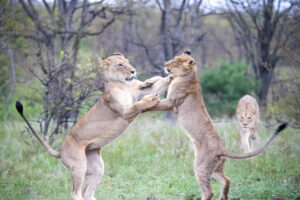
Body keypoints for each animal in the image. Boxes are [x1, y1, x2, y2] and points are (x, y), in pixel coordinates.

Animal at [15, 52, 171, 200]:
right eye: (120, 65)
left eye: (128, 62)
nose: (133, 71)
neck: (122, 83)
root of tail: (61, 150)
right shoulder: (124, 111)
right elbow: (139, 104)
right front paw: (151, 98)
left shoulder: (137, 94)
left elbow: (160, 82)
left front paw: (162, 78)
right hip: (79, 165)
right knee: (75, 193)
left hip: (97, 168)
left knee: (87, 193)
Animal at [146, 50, 288, 200]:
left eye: (174, 62)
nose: (165, 64)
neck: (191, 76)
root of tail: (222, 148)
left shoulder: (171, 103)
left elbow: (156, 105)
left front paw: (145, 103)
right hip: (215, 168)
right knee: (227, 180)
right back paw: (222, 197)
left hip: (201, 166)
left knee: (209, 191)